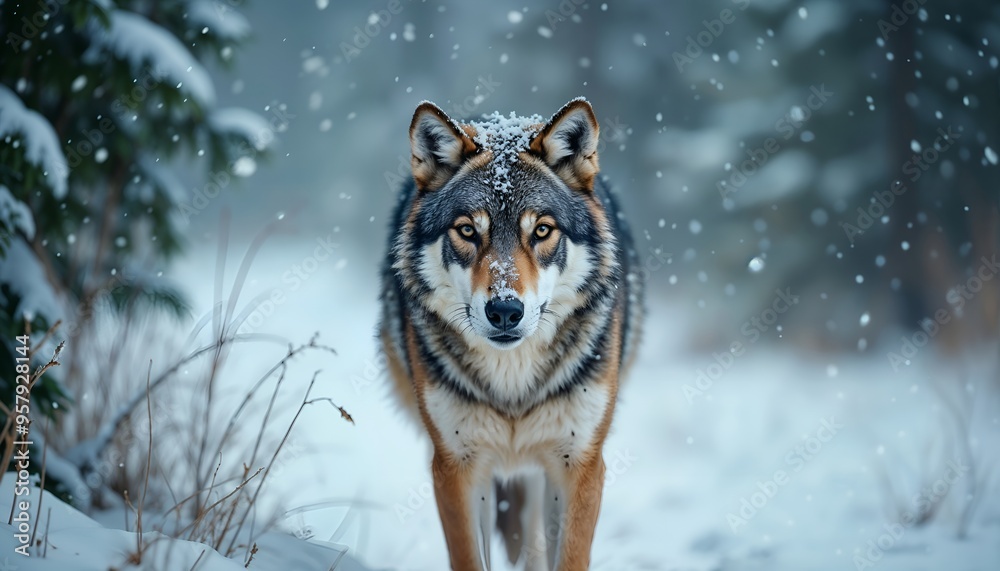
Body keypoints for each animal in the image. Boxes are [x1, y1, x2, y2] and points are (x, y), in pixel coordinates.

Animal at [378, 98, 644, 570]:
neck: (512, 386)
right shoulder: (456, 467)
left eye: (541, 230)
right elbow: (470, 558)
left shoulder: (580, 464)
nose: (504, 311)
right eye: (468, 230)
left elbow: (569, 558)